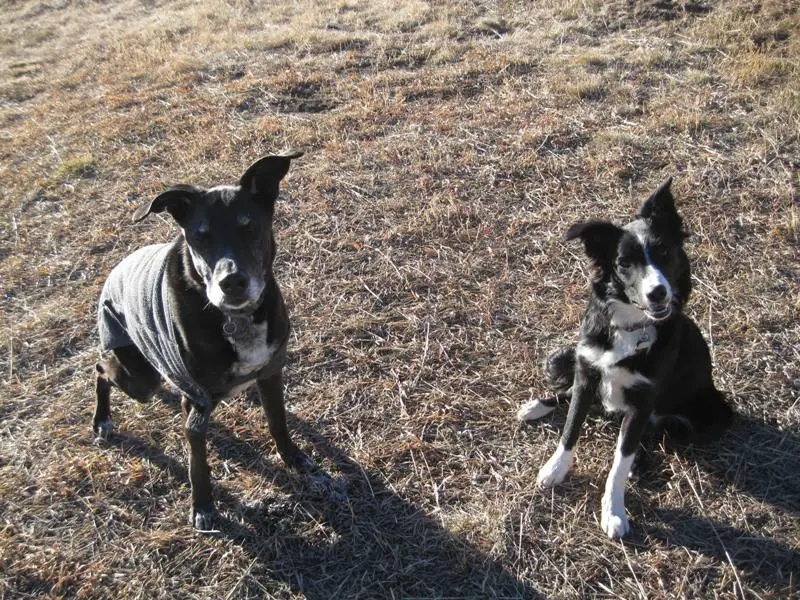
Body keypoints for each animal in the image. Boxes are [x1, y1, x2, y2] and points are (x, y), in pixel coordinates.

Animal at [94, 152, 306, 532]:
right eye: (200, 237)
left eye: (249, 227)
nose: (231, 282)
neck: (235, 318)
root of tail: (115, 269)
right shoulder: (195, 403)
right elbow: (197, 464)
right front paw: (203, 506)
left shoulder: (271, 371)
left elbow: (278, 421)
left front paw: (293, 457)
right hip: (139, 377)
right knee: (101, 367)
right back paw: (101, 420)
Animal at [520, 178, 732, 540]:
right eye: (624, 263)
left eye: (664, 252)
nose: (658, 292)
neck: (631, 326)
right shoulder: (588, 371)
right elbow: (571, 426)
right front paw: (555, 468)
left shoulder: (643, 398)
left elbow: (620, 461)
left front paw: (614, 511)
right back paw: (537, 406)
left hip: (708, 414)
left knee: (650, 436)